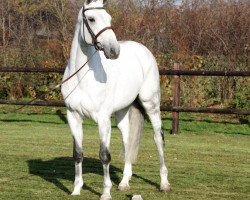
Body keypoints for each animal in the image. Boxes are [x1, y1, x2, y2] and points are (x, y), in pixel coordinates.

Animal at [61, 0, 170, 200]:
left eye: (109, 18)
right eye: (91, 19)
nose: (114, 50)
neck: (82, 77)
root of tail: (143, 50)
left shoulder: (103, 119)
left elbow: (104, 155)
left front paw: (105, 192)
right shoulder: (73, 116)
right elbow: (78, 154)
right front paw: (76, 189)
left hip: (151, 104)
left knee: (158, 138)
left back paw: (164, 183)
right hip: (122, 111)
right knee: (128, 140)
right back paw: (124, 183)